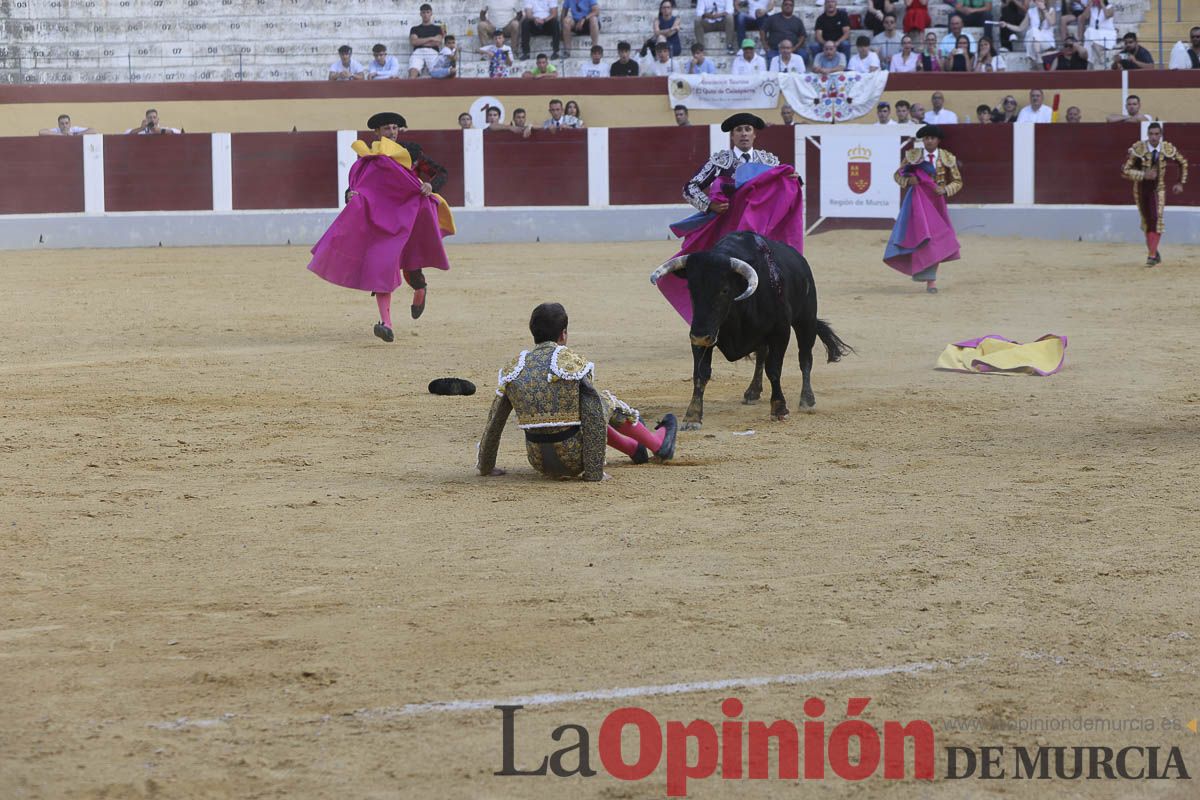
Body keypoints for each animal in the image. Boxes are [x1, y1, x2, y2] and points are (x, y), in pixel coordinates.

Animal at [648, 231, 854, 431]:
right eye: (691, 289)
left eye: (724, 290)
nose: (699, 336)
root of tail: (801, 261)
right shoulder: (705, 332)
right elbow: (700, 373)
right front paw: (692, 417)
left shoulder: (780, 332)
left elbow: (774, 370)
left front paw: (779, 409)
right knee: (762, 355)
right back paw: (753, 392)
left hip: (806, 320)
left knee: (805, 358)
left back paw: (807, 400)